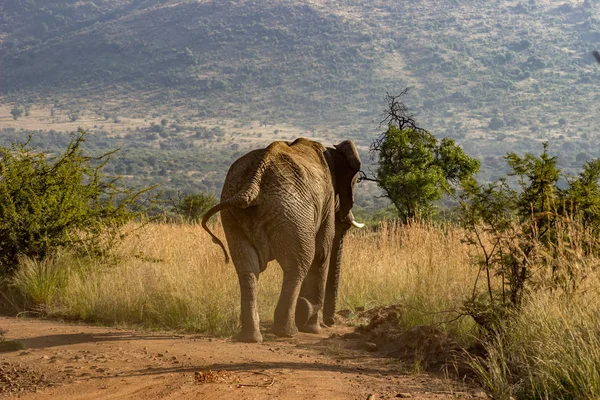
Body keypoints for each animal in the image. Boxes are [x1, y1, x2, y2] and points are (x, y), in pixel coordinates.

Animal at [202, 138, 364, 344]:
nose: (331, 322)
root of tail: (253, 184)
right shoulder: (326, 199)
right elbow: (322, 252)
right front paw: (313, 328)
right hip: (291, 212)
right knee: (298, 265)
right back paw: (288, 332)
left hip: (235, 215)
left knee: (247, 268)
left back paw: (250, 337)